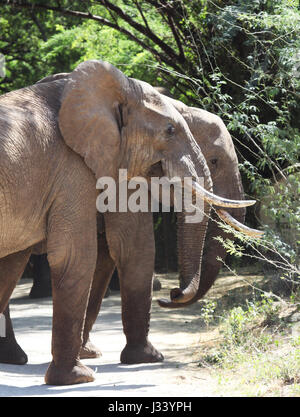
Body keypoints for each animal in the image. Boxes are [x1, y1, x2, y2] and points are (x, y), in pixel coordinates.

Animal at [0, 70, 262, 376]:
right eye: (215, 160)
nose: (172, 294)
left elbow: (105, 256)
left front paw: (89, 354)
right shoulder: (83, 168)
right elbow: (132, 247)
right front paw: (148, 358)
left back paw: (14, 357)